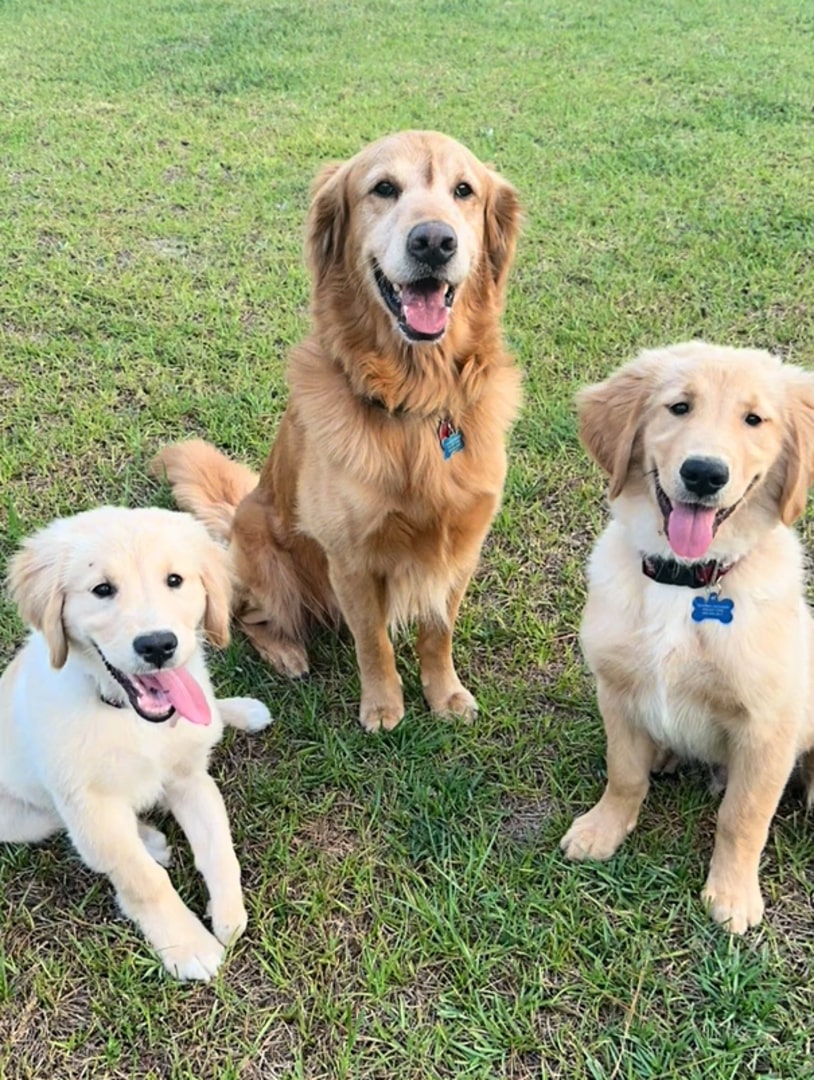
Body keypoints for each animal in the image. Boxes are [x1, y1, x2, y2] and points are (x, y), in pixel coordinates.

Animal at [0, 505, 273, 980]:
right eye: (102, 590)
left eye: (175, 580)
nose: (158, 645)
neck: (128, 715)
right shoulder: (90, 806)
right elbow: (143, 879)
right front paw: (188, 944)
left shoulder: (189, 777)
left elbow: (219, 848)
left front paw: (228, 914)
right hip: (21, 818)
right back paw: (150, 840)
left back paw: (240, 711)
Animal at [152, 130, 520, 730]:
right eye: (384, 188)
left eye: (464, 190)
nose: (434, 242)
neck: (415, 401)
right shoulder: (350, 557)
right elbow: (374, 641)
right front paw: (384, 706)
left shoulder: (459, 546)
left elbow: (437, 631)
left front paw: (444, 694)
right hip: (269, 564)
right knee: (246, 618)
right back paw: (286, 652)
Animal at [561, 341, 814, 933]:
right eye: (679, 407)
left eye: (753, 419)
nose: (703, 473)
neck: (684, 577)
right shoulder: (617, 691)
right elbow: (624, 773)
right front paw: (603, 829)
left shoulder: (768, 728)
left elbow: (742, 815)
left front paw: (733, 894)